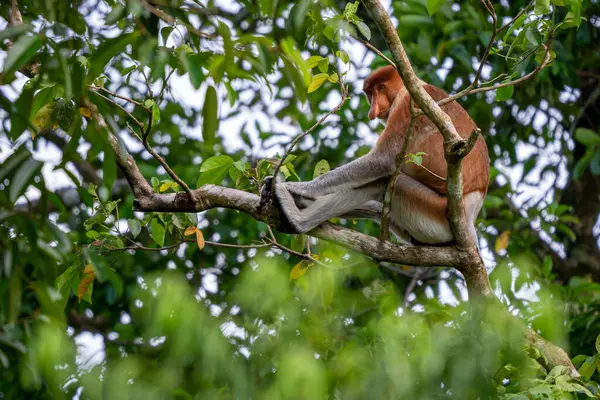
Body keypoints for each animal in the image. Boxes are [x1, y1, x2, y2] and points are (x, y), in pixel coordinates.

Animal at [264, 65, 490, 244]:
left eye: (381, 88)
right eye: (370, 93)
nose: (373, 108)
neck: (413, 86)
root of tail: (470, 214)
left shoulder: (408, 104)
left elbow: (383, 160)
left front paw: (295, 187)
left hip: (434, 211)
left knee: (387, 181)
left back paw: (297, 219)